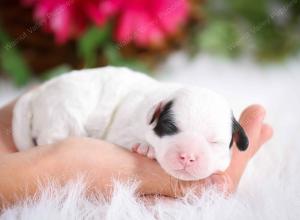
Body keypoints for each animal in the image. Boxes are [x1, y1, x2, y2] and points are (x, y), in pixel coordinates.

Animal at [12, 66, 248, 180]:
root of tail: (38, 93)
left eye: (214, 142)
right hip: (63, 111)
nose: (188, 156)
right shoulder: (123, 128)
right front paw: (145, 147)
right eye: (171, 128)